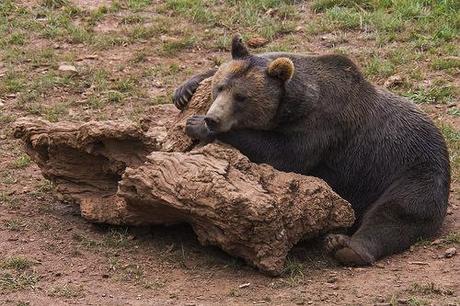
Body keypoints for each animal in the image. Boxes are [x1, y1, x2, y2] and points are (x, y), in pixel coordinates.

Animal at [172, 34, 450, 266]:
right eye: (220, 87)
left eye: (241, 97)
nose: (213, 119)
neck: (293, 107)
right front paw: (185, 89)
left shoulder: (323, 126)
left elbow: (284, 153)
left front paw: (196, 124)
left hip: (412, 171)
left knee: (396, 213)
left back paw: (346, 247)